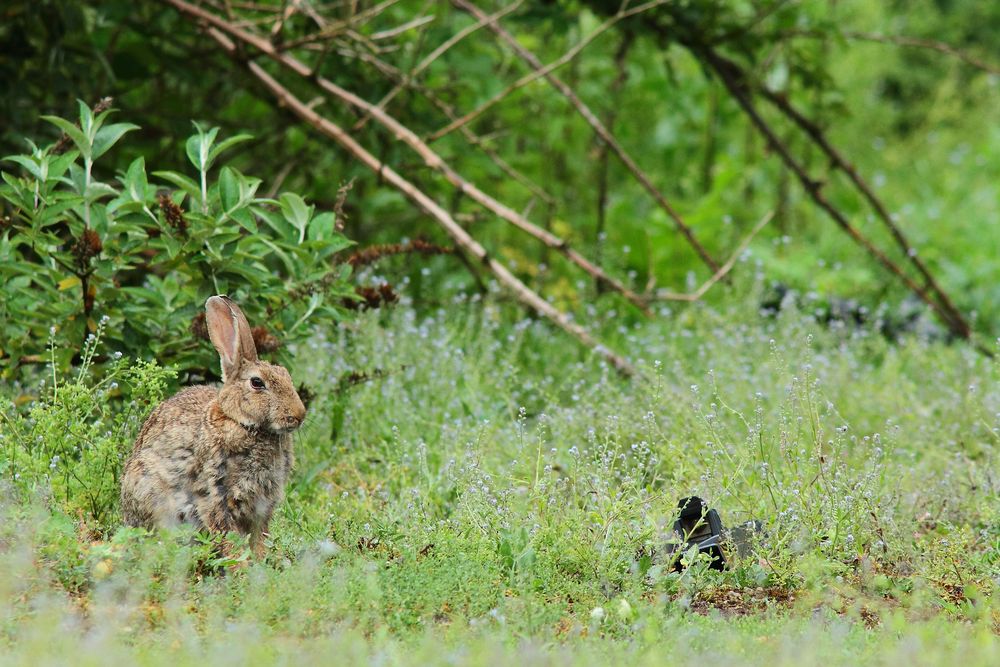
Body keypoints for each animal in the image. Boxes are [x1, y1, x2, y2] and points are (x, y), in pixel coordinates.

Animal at [119, 294, 304, 556]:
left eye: (286, 375)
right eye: (257, 383)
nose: (299, 415)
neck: (243, 424)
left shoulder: (262, 505)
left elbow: (259, 537)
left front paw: (261, 561)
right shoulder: (214, 494)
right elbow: (227, 536)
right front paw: (240, 564)